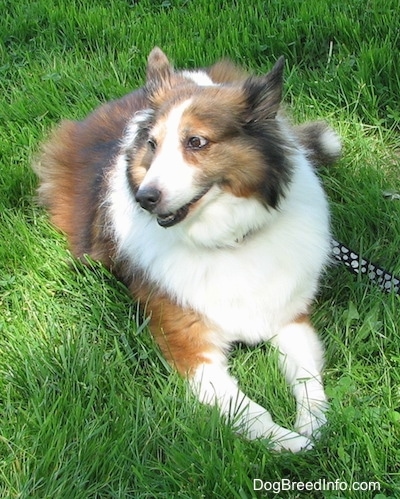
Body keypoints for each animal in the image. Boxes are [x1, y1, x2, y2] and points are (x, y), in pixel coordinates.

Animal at [33, 47, 340, 454]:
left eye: (196, 142)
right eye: (152, 145)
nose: (144, 198)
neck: (226, 239)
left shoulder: (290, 317)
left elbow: (307, 380)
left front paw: (315, 426)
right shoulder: (189, 346)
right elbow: (250, 411)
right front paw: (291, 444)